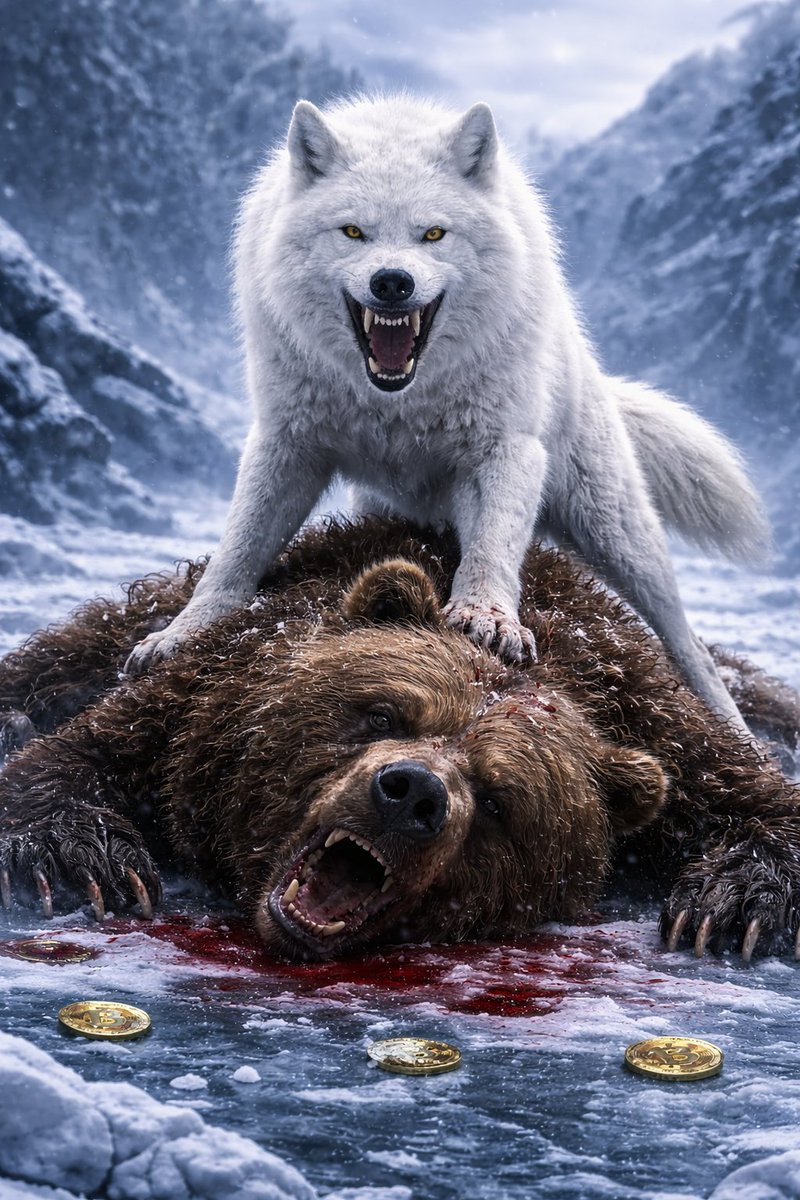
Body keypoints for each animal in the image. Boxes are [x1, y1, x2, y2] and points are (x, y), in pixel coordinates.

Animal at [0, 517, 798, 963]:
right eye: (384, 714)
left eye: (500, 798)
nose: (411, 792)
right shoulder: (195, 700)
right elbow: (75, 759)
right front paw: (88, 859)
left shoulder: (666, 730)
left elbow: (761, 806)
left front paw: (726, 904)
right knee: (72, 652)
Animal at [124, 95, 767, 732]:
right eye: (353, 232)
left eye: (433, 234)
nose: (392, 282)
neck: (398, 400)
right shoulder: (287, 445)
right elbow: (236, 553)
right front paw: (182, 634)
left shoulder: (503, 449)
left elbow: (492, 548)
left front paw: (488, 618)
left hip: (616, 533)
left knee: (687, 642)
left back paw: (735, 733)